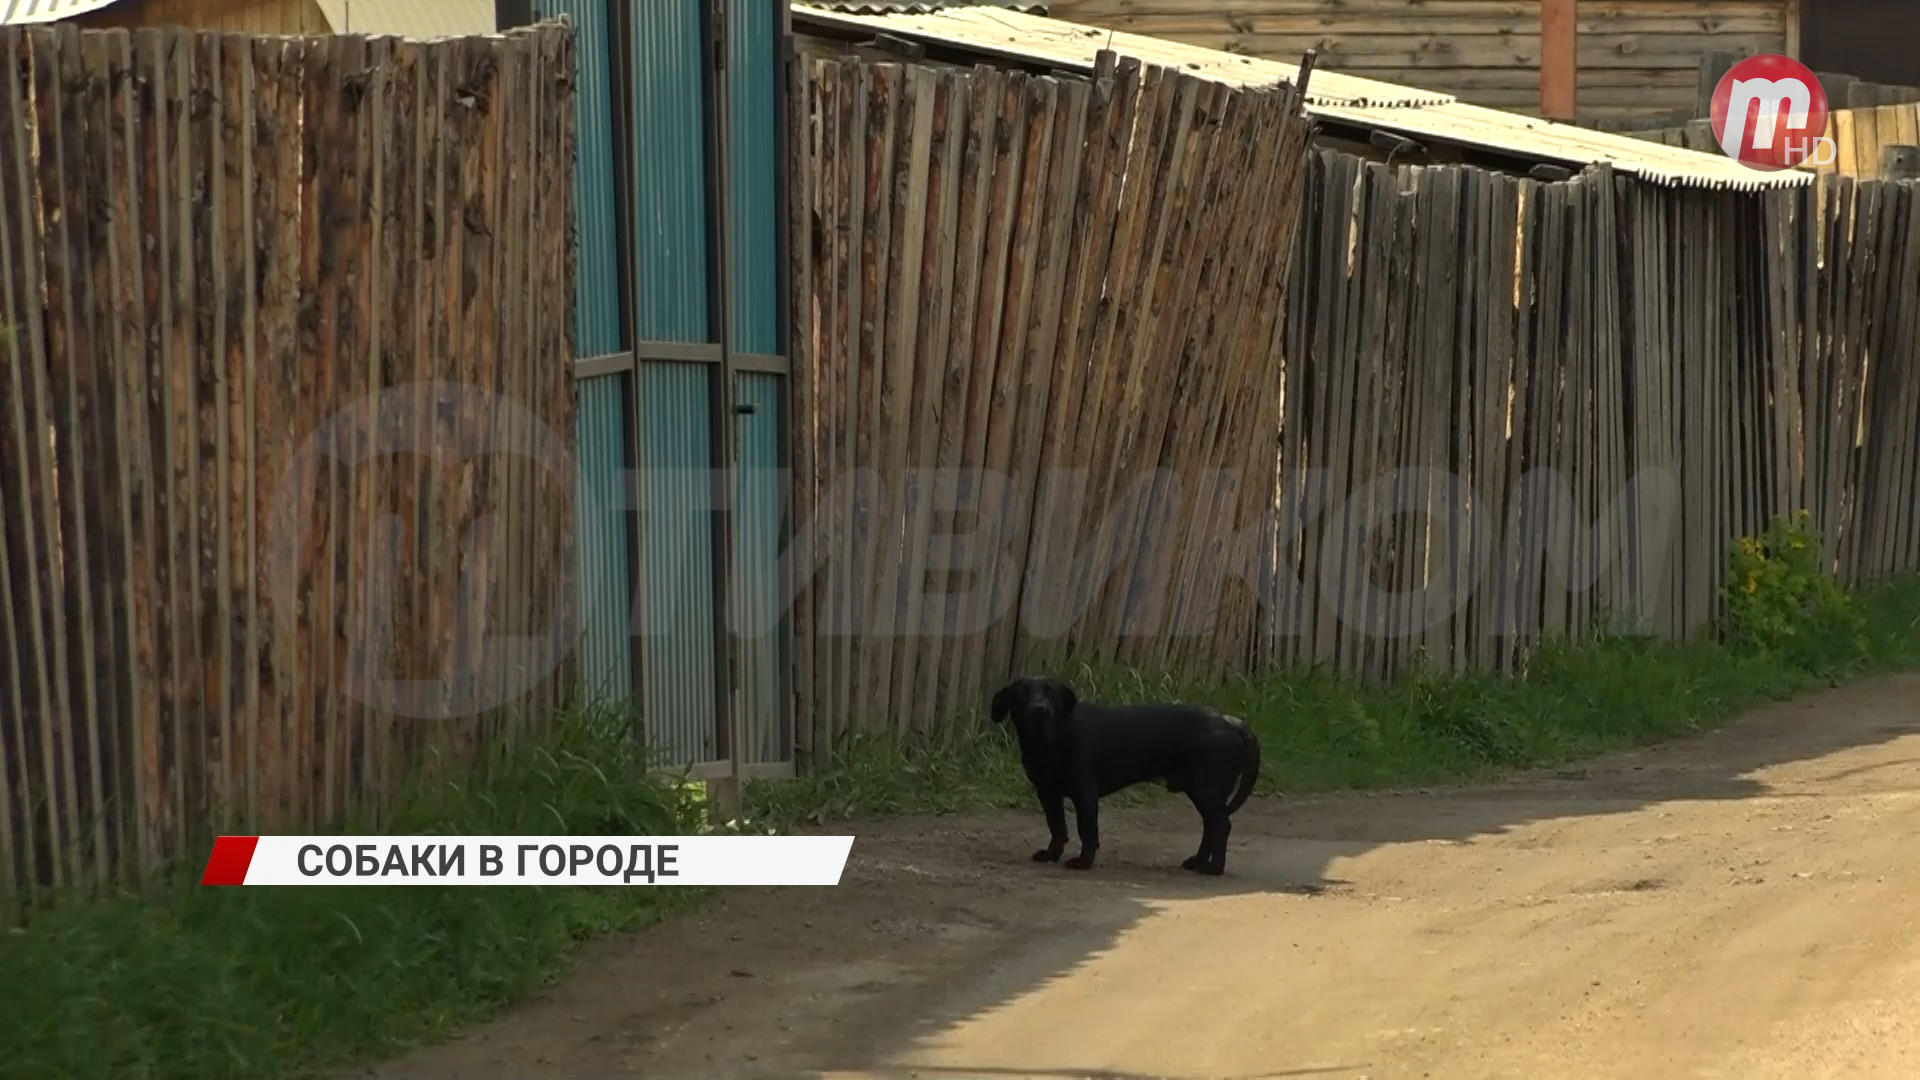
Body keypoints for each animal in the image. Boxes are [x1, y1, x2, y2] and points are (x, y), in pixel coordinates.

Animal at [990, 672, 1259, 876]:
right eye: (1023, 692)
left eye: (1050, 692)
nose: (1040, 709)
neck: (1051, 739)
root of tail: (1232, 722)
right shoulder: (1047, 793)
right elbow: (1057, 828)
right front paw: (1051, 855)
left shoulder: (1085, 794)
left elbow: (1087, 832)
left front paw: (1083, 862)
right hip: (1201, 792)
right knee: (1211, 826)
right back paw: (1198, 862)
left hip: (1208, 791)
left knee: (1222, 825)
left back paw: (1214, 868)